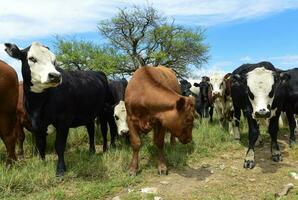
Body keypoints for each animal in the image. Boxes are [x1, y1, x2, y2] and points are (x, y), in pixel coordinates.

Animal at [4, 42, 116, 177]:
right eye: (32, 58)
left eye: (54, 61)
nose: (55, 76)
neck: (38, 104)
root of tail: (98, 73)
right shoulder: (36, 124)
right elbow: (40, 144)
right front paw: (42, 163)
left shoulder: (63, 121)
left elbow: (59, 145)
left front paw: (61, 170)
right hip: (89, 113)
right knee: (91, 130)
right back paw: (91, 151)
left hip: (106, 109)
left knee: (105, 129)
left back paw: (106, 149)